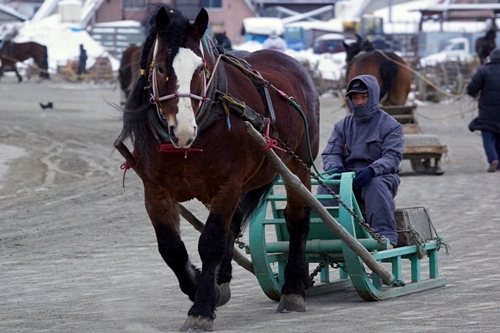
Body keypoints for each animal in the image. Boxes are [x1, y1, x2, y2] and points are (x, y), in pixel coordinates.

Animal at [117, 3, 320, 330]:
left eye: (200, 69)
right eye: (160, 68)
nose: (183, 130)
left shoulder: (227, 185)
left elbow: (211, 241)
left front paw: (200, 308)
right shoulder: (155, 190)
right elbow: (171, 248)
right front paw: (199, 286)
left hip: (297, 164)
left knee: (297, 220)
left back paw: (293, 289)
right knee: (234, 224)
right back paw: (222, 280)